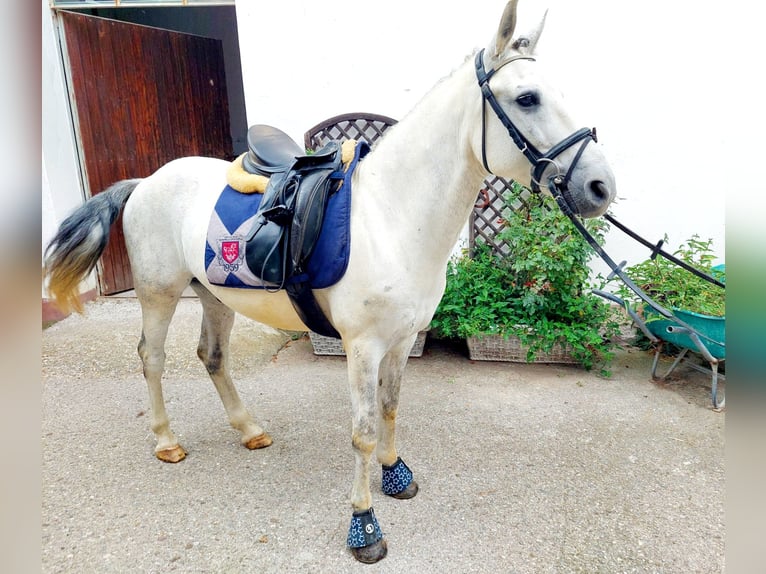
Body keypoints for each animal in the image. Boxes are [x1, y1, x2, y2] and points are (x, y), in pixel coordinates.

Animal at [43, 1, 616, 568]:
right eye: (526, 98)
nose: (600, 187)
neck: (392, 216)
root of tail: (147, 182)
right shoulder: (361, 346)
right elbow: (362, 431)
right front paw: (364, 525)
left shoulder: (402, 341)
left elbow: (389, 408)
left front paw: (396, 475)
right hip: (160, 293)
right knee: (152, 358)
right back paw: (166, 441)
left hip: (214, 294)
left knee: (212, 356)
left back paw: (250, 430)